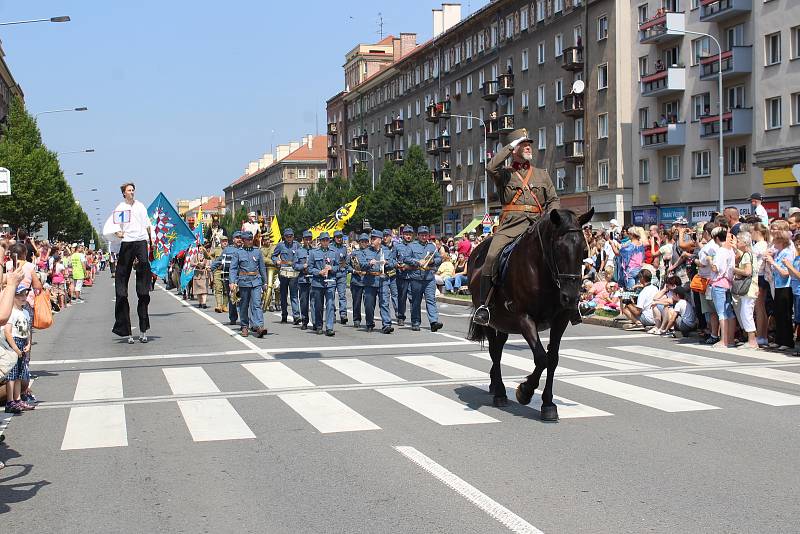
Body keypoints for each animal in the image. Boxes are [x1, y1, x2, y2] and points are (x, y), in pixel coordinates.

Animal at [462, 209, 592, 422]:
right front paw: (525, 391)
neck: (541, 270)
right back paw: (500, 393)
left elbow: (552, 359)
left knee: (499, 349)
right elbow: (541, 358)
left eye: (584, 250)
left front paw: (548, 404)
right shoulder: (524, 318)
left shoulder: (561, 320)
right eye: (558, 248)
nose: (571, 297)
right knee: (495, 352)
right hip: (491, 321)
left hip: (503, 324)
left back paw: (494, 384)